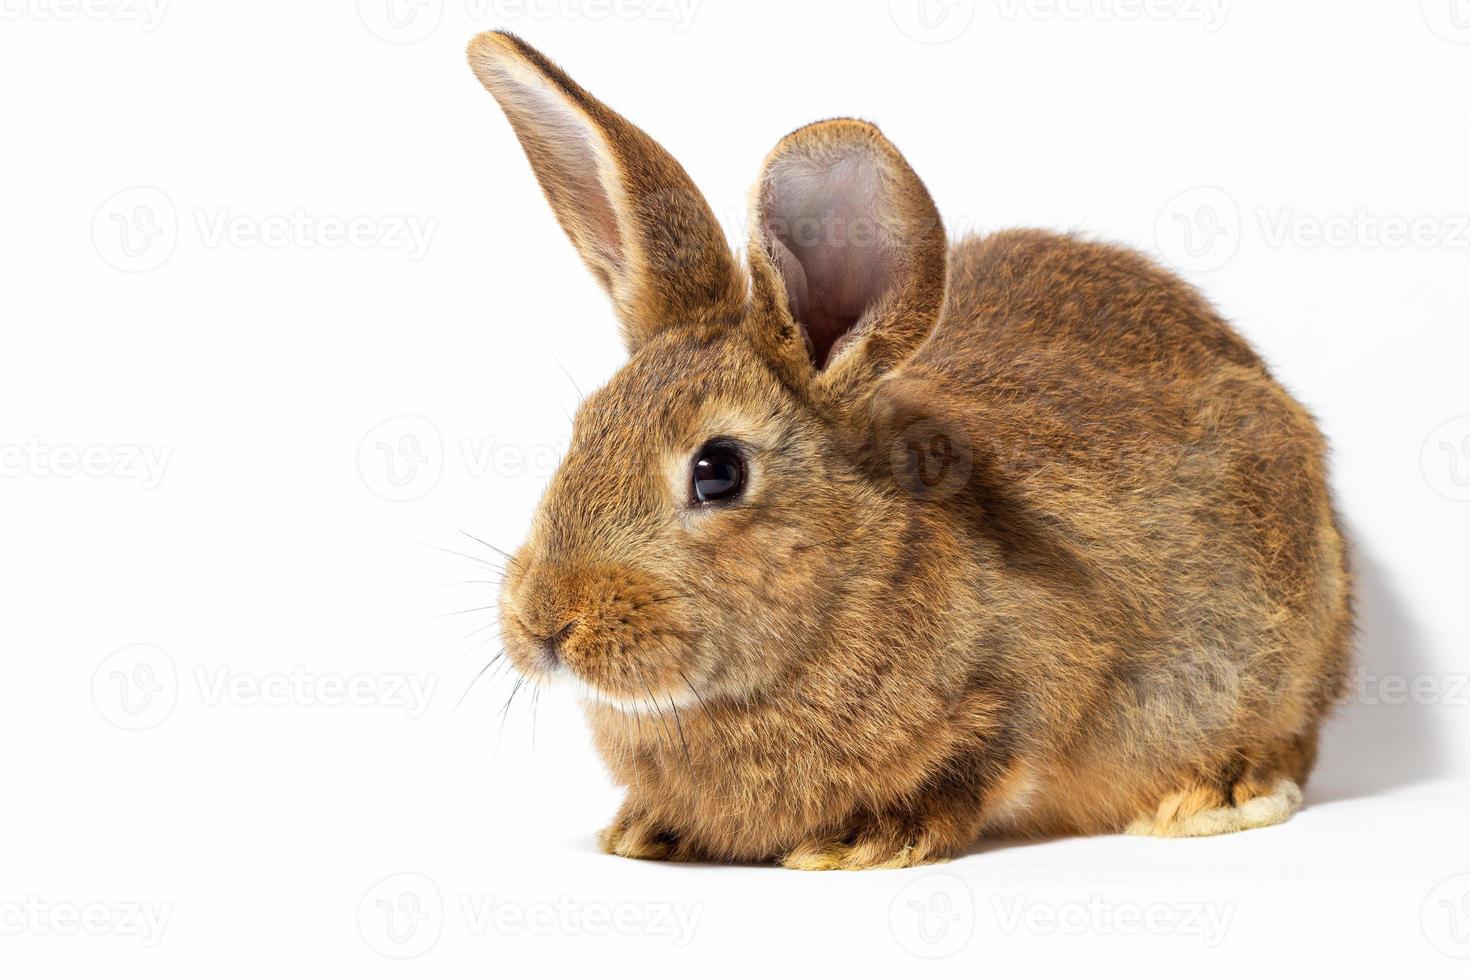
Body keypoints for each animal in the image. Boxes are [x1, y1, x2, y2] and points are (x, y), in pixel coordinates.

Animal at [464, 30, 1346, 869]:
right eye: (584, 428)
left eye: (718, 472)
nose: (546, 620)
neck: (856, 573)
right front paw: (649, 828)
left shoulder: (1037, 685)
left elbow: (980, 763)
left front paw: (864, 842)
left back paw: (1215, 797)